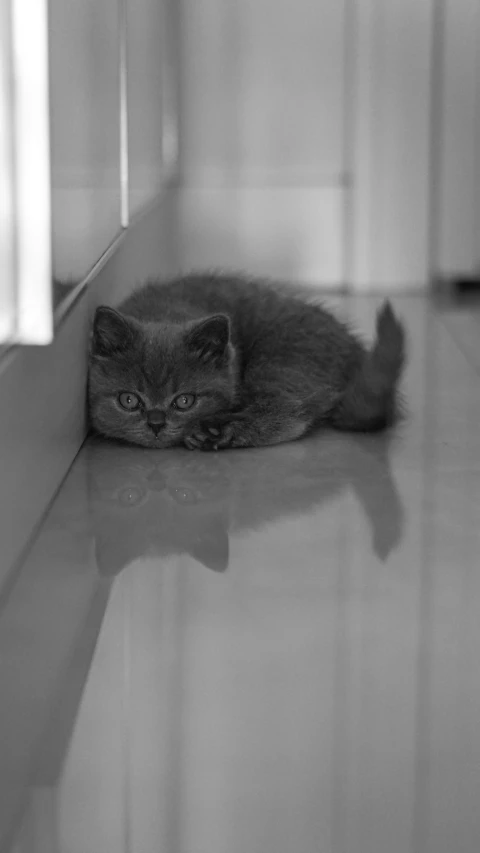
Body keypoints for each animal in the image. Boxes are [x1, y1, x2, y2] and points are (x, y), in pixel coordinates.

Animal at [87, 272, 404, 450]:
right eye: (129, 400)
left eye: (184, 401)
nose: (155, 422)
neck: (163, 312)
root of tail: (355, 350)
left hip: (282, 359)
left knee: (288, 414)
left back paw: (217, 432)